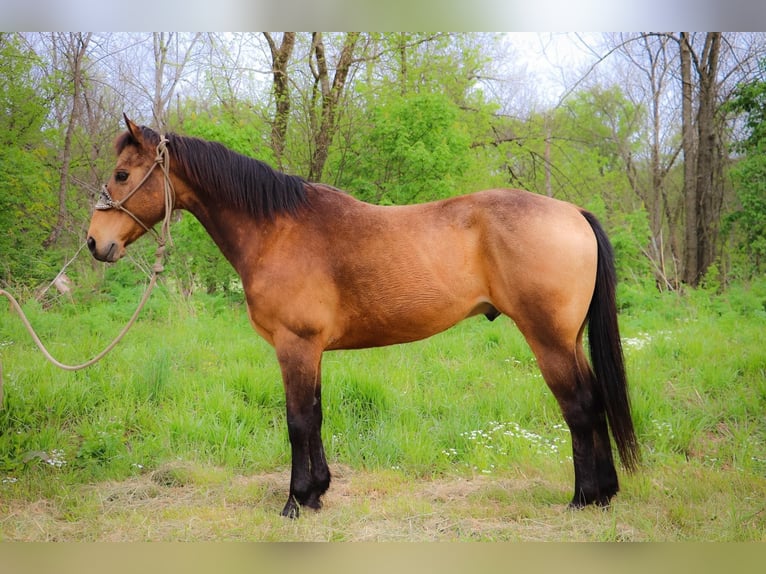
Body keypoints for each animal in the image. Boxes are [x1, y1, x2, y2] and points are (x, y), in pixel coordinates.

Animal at [87, 115, 640, 520]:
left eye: (121, 174)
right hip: (568, 340)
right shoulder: (312, 350)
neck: (277, 229)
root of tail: (572, 212)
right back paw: (605, 493)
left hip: (548, 339)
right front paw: (317, 492)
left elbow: (297, 421)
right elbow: (315, 415)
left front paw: (294, 501)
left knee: (580, 407)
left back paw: (584, 498)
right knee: (595, 403)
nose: (95, 243)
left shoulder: (294, 344)